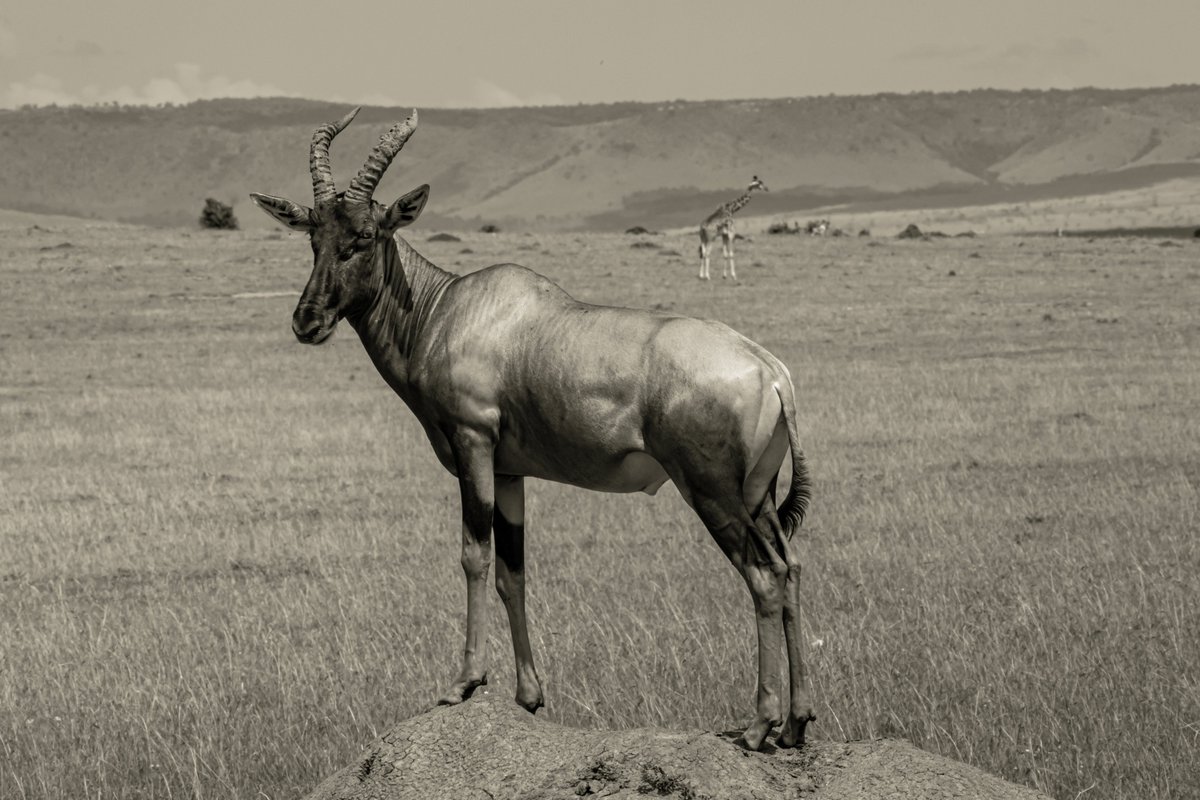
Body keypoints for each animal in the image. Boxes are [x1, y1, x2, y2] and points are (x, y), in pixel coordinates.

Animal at [252, 107, 816, 753]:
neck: (449, 308)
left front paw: (464, 683)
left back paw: (759, 724)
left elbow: (473, 555)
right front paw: (528, 696)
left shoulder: (473, 446)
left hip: (713, 493)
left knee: (764, 577)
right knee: (791, 569)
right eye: (313, 236)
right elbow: (511, 573)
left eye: (365, 236)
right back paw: (797, 722)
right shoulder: (510, 471)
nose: (307, 321)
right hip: (758, 495)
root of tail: (769, 369)